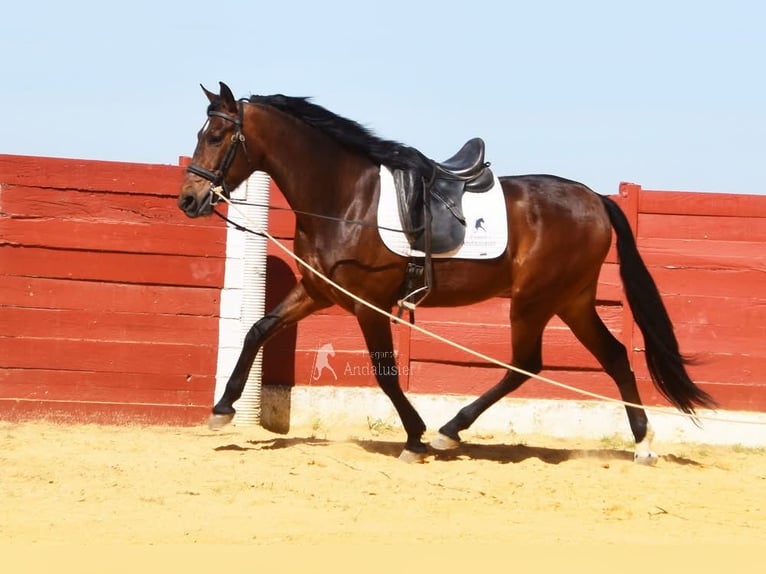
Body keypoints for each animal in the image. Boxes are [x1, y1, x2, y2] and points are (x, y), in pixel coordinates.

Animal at [177, 82, 716, 463]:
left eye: (218, 136)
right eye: (201, 135)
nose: (188, 199)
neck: (346, 197)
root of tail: (597, 200)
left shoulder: (368, 304)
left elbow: (386, 374)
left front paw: (415, 437)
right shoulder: (318, 291)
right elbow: (257, 330)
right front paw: (223, 409)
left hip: (535, 300)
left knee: (526, 364)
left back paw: (448, 432)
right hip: (572, 300)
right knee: (615, 356)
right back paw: (642, 444)